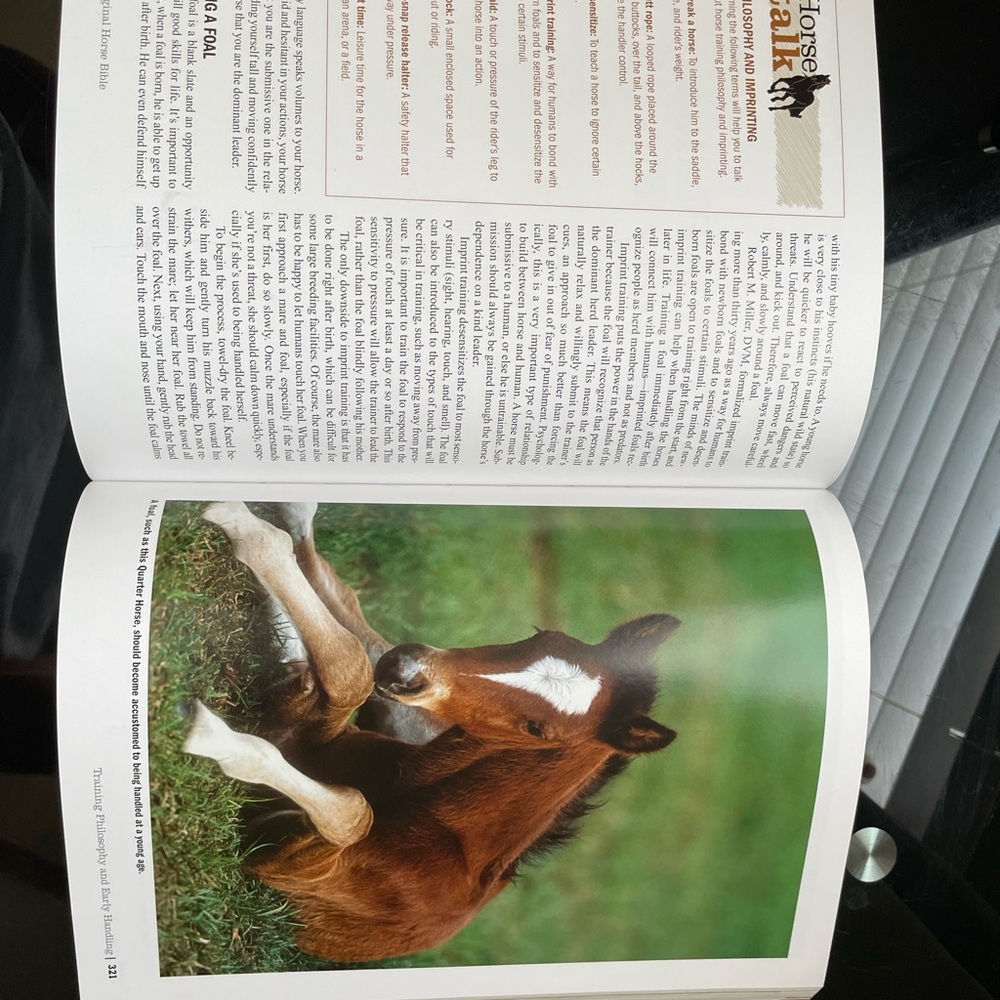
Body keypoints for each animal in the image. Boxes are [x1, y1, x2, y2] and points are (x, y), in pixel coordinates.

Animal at [184, 501, 680, 962]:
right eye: (540, 633)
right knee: (341, 603)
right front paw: (245, 526)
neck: (433, 818)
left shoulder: (279, 867)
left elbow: (352, 810)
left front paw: (207, 734)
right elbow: (349, 668)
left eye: (538, 729)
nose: (406, 670)